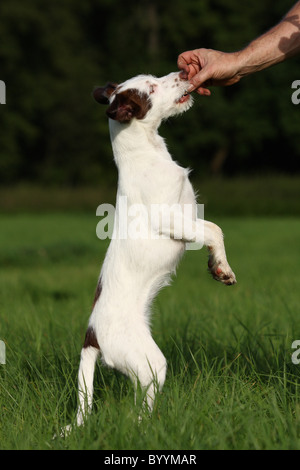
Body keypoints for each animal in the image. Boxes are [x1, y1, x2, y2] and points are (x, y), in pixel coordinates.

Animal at [64, 71, 236, 432]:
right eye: (153, 88)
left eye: (154, 77)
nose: (183, 72)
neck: (149, 152)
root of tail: (91, 336)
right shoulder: (171, 218)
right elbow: (215, 229)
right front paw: (222, 270)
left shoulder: (187, 215)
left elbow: (213, 228)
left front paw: (216, 265)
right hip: (149, 361)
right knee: (139, 408)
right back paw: (149, 427)